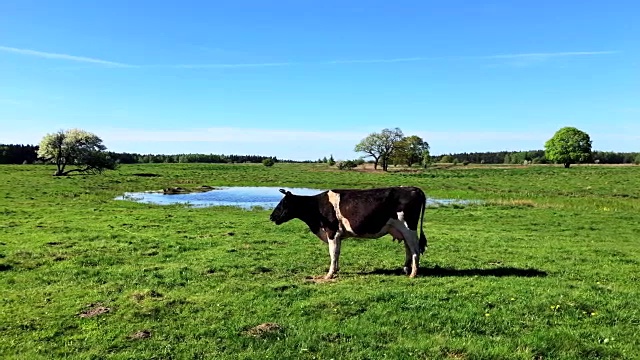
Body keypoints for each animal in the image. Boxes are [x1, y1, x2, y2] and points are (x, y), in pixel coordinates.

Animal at [268, 187, 428, 280]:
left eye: (282, 204)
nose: (271, 217)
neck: (316, 208)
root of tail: (413, 188)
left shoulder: (332, 232)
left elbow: (332, 253)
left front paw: (329, 275)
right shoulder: (338, 235)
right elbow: (337, 253)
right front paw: (336, 270)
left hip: (409, 228)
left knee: (415, 250)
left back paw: (413, 273)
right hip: (403, 231)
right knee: (408, 249)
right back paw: (406, 269)